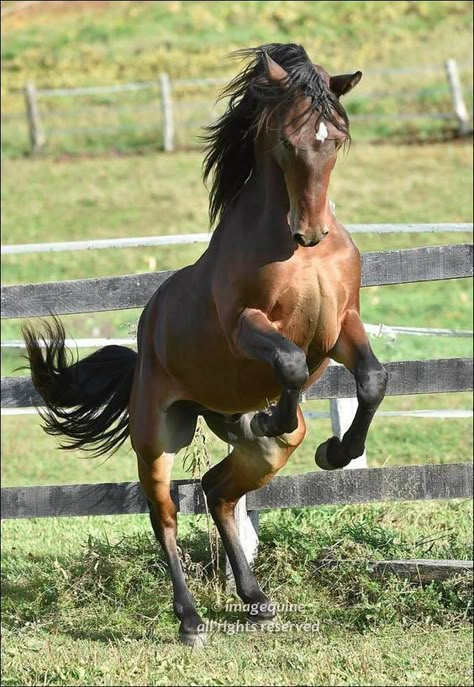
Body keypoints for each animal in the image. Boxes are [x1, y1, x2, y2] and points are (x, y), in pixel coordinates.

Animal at [22, 45, 386, 648]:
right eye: (288, 140)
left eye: (335, 138)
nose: (310, 231)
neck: (299, 255)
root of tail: (143, 347)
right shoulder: (245, 327)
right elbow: (289, 363)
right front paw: (278, 417)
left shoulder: (342, 327)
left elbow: (374, 380)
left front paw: (336, 452)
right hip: (159, 435)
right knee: (165, 514)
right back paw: (190, 620)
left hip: (254, 447)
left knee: (219, 491)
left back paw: (256, 599)